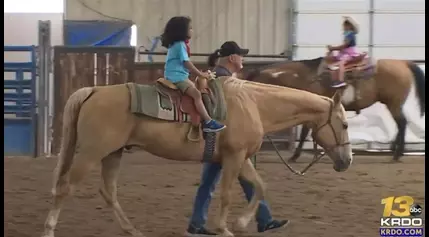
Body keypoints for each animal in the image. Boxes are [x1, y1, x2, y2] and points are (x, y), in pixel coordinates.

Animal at [42, 77, 352, 236]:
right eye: (346, 124)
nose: (347, 161)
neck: (253, 103)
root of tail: (93, 90)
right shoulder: (234, 158)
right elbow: (226, 194)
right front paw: (225, 228)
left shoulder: (240, 159)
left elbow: (260, 186)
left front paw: (242, 223)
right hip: (92, 153)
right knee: (64, 187)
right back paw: (49, 229)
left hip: (113, 153)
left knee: (108, 191)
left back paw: (132, 231)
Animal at [244, 56, 424, 162]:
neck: (305, 77)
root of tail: (403, 63)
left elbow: (305, 131)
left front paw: (295, 155)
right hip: (392, 104)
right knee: (401, 124)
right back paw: (395, 150)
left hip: (394, 103)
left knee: (402, 123)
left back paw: (397, 154)